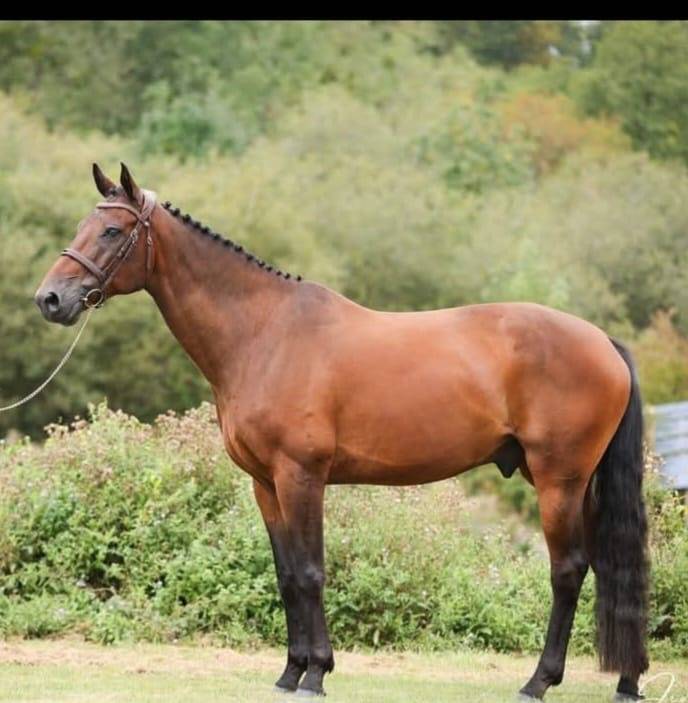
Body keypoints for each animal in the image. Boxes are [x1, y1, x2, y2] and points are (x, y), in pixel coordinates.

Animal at [35, 163, 649, 701]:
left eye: (112, 230)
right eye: (82, 225)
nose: (50, 299)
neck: (263, 333)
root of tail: (604, 342)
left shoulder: (300, 476)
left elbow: (310, 572)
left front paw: (316, 675)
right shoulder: (265, 484)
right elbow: (286, 575)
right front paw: (289, 673)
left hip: (557, 481)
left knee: (568, 571)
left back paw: (538, 682)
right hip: (577, 484)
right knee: (613, 567)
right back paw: (626, 681)